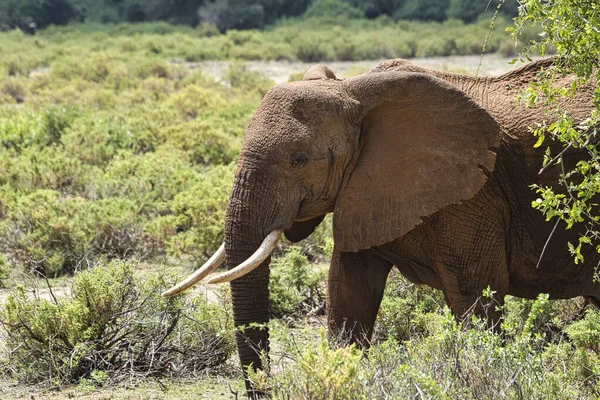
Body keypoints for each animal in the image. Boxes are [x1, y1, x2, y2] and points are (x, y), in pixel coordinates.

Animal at [162, 57, 596, 396]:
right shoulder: (364, 192)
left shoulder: (475, 197)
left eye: (299, 160)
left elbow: (476, 296)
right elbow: (348, 291)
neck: (353, 91)